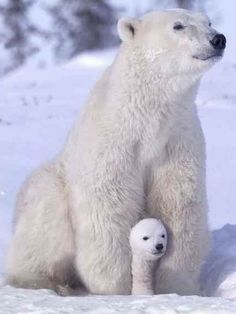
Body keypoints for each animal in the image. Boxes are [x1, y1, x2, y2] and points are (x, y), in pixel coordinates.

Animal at [6, 8, 226, 296]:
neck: (147, 118)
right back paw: (44, 283)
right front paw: (117, 287)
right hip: (46, 194)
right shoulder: (113, 143)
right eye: (178, 26)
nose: (218, 39)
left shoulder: (177, 141)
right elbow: (108, 205)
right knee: (42, 220)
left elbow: (179, 203)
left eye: (208, 22)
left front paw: (175, 283)